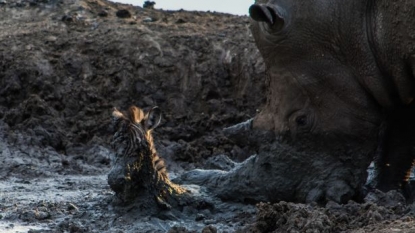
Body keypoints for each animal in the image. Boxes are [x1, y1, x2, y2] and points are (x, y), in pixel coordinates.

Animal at [179, 0, 415, 203]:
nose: (287, 195)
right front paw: (382, 194)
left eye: (301, 121)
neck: (351, 24)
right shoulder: (392, 73)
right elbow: (398, 132)